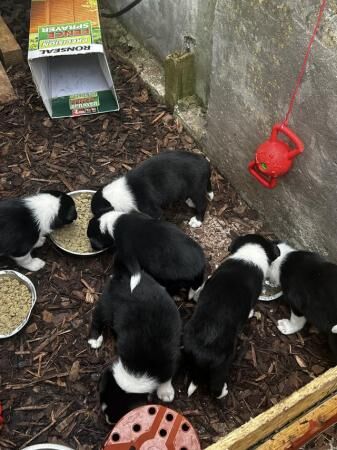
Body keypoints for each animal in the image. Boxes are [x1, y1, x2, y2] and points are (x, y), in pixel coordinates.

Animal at [88, 262, 180, 424]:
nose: (109, 421)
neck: (138, 368)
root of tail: (125, 274)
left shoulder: (170, 360)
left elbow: (167, 376)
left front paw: (165, 391)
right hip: (107, 305)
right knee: (97, 318)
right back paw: (95, 339)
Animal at [182, 234, 280, 400]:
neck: (250, 252)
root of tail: (200, 351)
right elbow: (251, 308)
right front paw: (251, 314)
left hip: (186, 354)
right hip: (221, 366)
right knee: (215, 388)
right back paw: (224, 392)